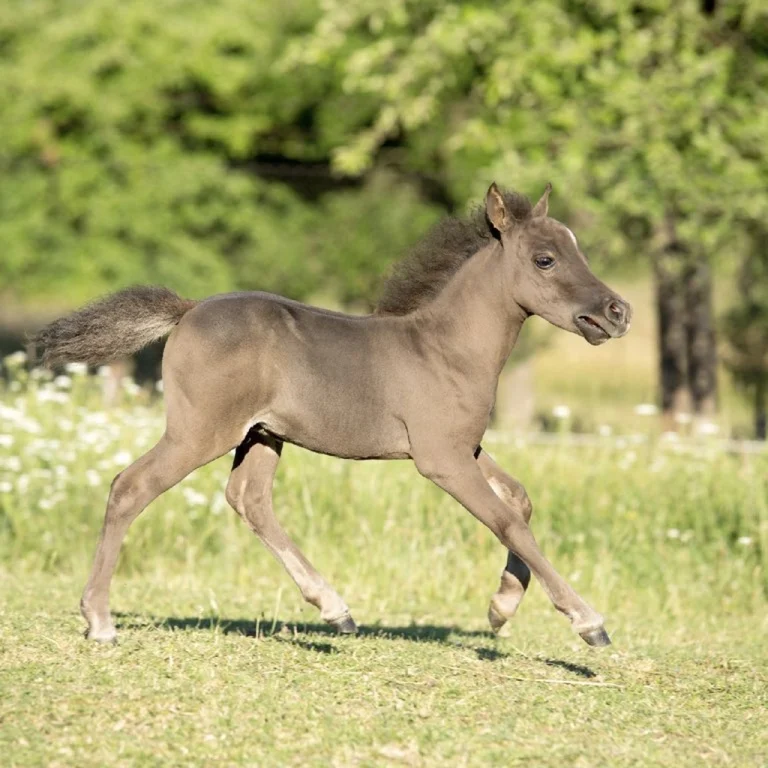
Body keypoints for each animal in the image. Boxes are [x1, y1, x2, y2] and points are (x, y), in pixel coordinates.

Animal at [35, 183, 631, 647]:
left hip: (262, 434)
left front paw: (500, 608)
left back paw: (335, 609)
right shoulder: (440, 458)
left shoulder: (466, 447)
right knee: (131, 487)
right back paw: (100, 621)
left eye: (577, 251)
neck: (444, 348)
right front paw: (588, 622)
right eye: (545, 259)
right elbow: (508, 521)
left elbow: (520, 502)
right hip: (198, 432)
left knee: (249, 499)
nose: (618, 311)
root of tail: (187, 311)